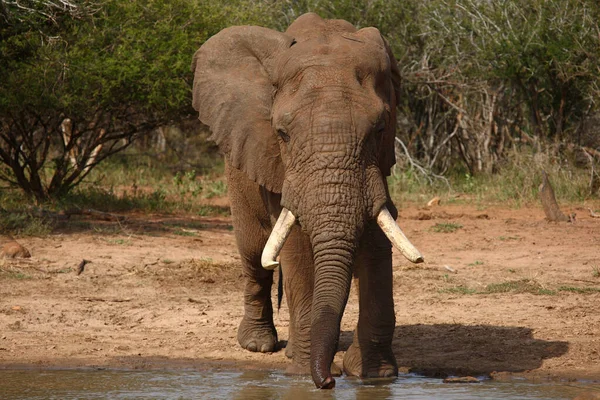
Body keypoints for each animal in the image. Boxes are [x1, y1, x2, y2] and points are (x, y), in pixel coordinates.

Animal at [192, 13, 422, 390]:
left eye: (379, 129)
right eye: (282, 134)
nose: (328, 380)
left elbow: (378, 239)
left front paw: (375, 377)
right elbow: (297, 248)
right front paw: (302, 375)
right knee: (253, 251)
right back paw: (259, 344)